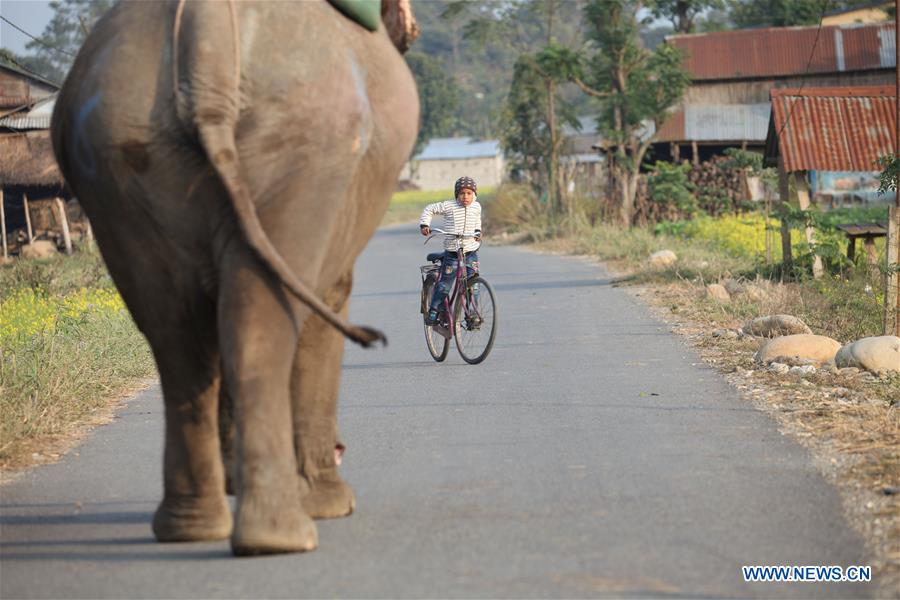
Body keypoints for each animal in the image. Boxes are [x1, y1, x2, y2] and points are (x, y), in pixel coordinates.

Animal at [51, 0, 419, 555]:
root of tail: (204, 36)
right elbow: (327, 301)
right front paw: (332, 504)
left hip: (117, 149)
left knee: (177, 336)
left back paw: (192, 526)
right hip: (305, 145)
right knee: (259, 326)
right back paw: (280, 535)